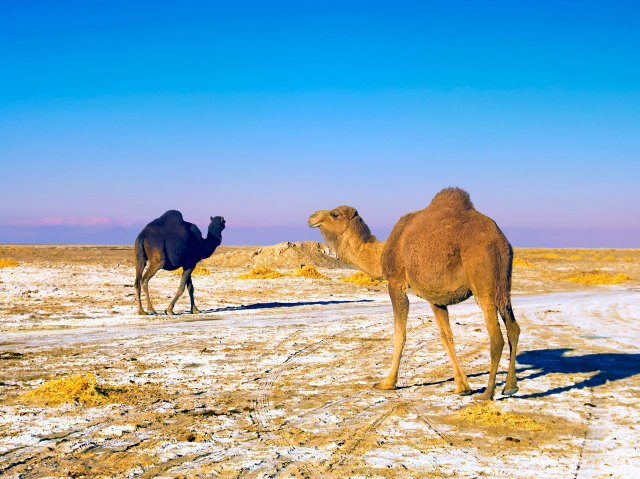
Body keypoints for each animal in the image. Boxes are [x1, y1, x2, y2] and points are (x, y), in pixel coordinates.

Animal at [310, 188, 520, 402]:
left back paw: (487, 393)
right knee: (513, 328)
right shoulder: (436, 297)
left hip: (483, 282)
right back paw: (510, 386)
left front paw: (387, 383)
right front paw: (462, 386)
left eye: (335, 214)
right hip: (504, 284)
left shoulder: (396, 282)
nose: (312, 216)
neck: (380, 254)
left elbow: (399, 334)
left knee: (496, 337)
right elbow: (446, 336)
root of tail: (499, 240)